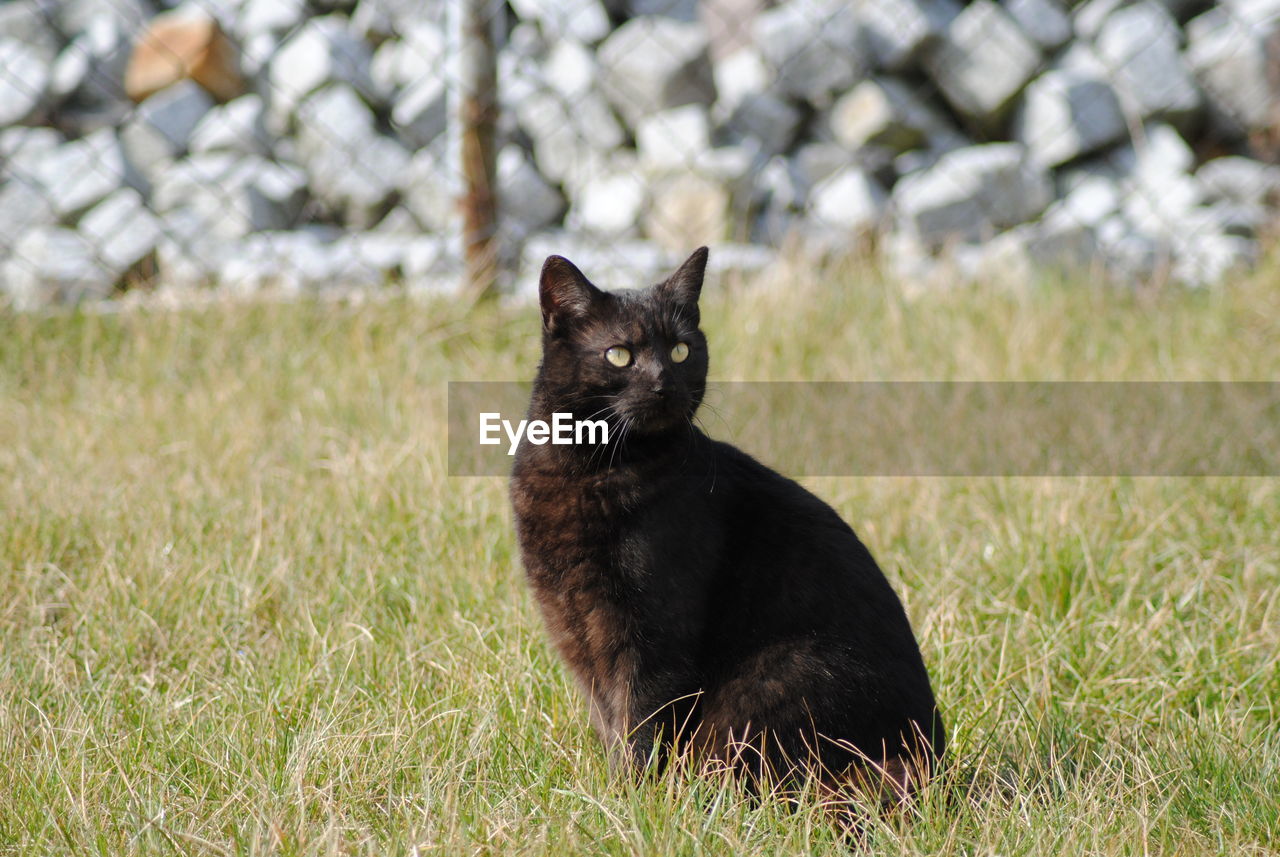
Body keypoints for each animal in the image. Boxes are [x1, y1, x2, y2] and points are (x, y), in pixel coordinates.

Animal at [506, 246, 942, 808]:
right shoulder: (574, 626)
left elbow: (639, 722)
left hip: (780, 676)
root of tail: (937, 763)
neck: (589, 467)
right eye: (619, 355)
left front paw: (633, 802)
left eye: (681, 350)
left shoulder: (654, 633)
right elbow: (609, 718)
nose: (664, 383)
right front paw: (614, 795)